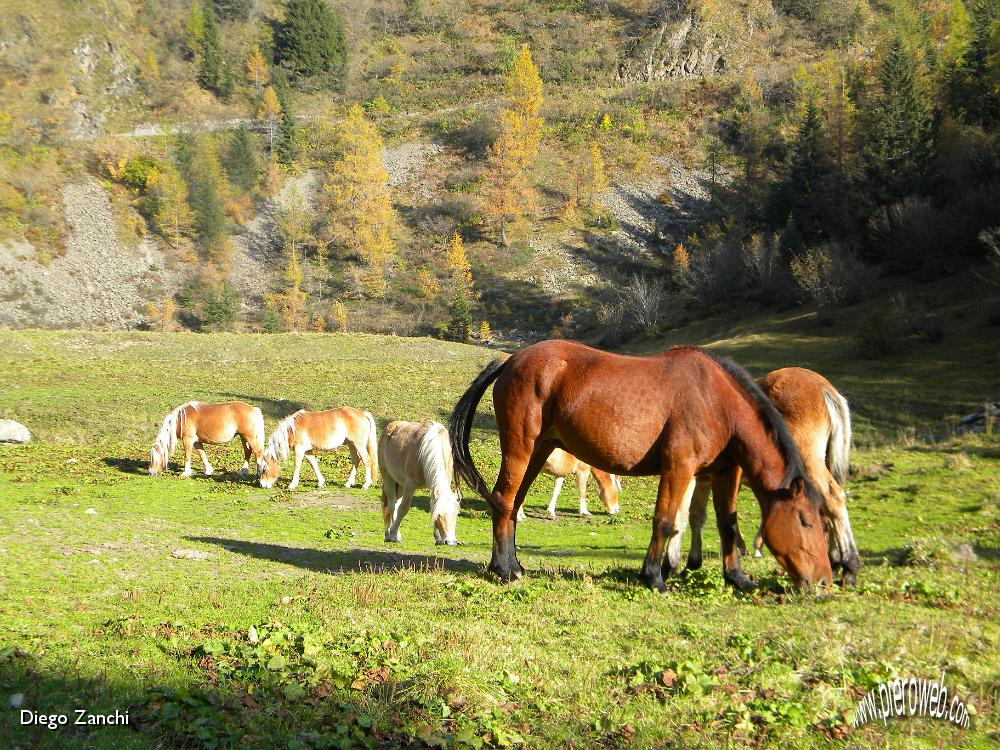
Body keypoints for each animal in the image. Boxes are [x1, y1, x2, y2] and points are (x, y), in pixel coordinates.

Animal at [450, 344, 832, 596]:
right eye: (805, 521)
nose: (825, 581)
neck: (716, 401)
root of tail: (511, 360)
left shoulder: (725, 473)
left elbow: (727, 524)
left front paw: (737, 577)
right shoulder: (679, 468)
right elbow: (664, 521)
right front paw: (654, 577)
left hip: (539, 451)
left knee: (513, 504)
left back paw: (514, 565)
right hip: (521, 448)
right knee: (503, 500)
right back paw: (503, 570)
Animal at [688, 370, 860, 588]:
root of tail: (822, 386)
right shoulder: (703, 478)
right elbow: (696, 515)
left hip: (808, 462)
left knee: (833, 499)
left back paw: (849, 566)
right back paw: (835, 561)